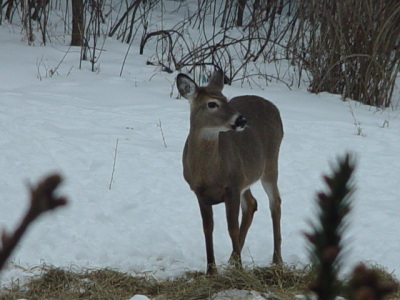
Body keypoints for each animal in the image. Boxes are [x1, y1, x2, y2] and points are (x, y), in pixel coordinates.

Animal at [176, 69, 284, 274]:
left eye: (226, 98)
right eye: (212, 103)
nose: (242, 119)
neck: (209, 172)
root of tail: (273, 106)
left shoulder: (232, 186)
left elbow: (231, 228)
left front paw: (239, 269)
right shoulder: (199, 191)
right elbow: (207, 228)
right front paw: (211, 270)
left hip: (270, 164)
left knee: (275, 203)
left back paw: (276, 260)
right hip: (246, 177)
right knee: (252, 203)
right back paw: (232, 258)